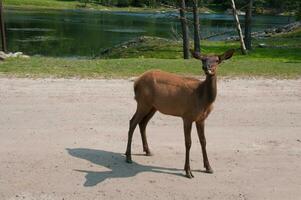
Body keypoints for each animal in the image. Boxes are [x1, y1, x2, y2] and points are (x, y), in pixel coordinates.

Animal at [124, 48, 234, 178]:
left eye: (217, 60)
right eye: (203, 59)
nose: (206, 68)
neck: (203, 99)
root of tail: (135, 83)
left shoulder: (201, 118)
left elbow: (203, 141)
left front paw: (208, 168)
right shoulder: (187, 116)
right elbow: (188, 142)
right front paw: (188, 171)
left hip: (152, 106)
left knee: (142, 124)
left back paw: (147, 151)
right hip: (142, 102)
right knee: (132, 122)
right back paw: (128, 157)